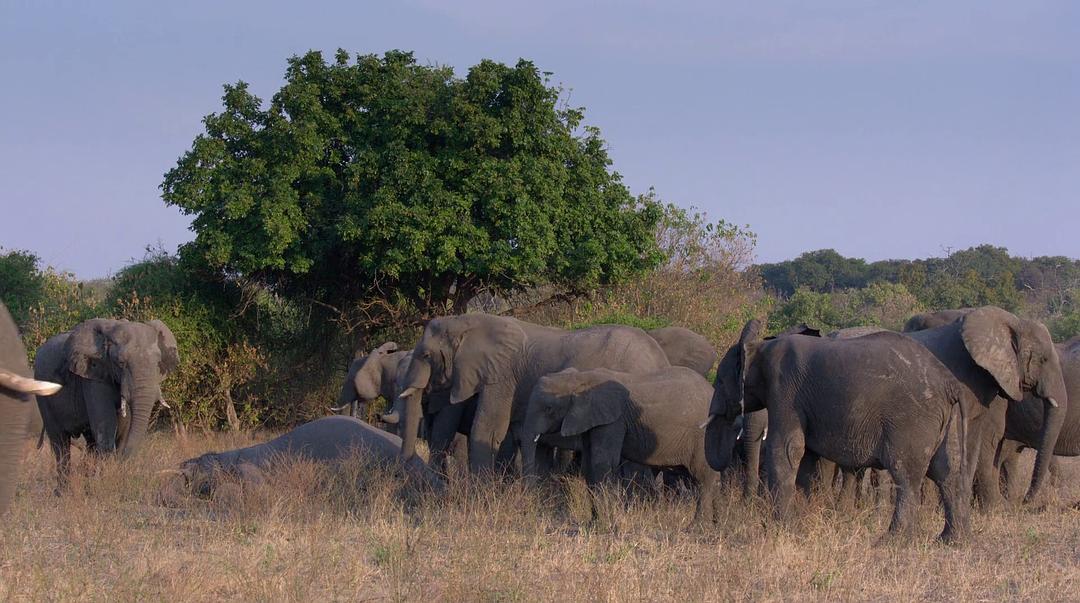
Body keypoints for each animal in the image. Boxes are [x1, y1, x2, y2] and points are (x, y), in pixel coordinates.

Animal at [34, 318, 179, 490]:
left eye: (157, 363)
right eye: (121, 363)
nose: (123, 462)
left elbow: (122, 429)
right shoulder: (93, 375)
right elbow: (106, 428)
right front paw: (104, 485)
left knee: (90, 442)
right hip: (43, 394)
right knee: (60, 443)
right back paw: (63, 491)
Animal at [397, 313, 671, 473]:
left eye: (426, 355)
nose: (404, 468)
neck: (465, 321)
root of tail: (661, 360)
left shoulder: (502, 374)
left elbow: (487, 429)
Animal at [520, 366, 721, 523]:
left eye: (549, 409)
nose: (532, 508)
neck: (580, 378)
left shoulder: (613, 420)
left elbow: (602, 462)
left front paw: (605, 524)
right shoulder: (592, 420)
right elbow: (589, 464)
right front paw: (594, 523)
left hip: (703, 437)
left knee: (703, 478)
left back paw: (697, 527)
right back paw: (716, 524)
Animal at [705, 320, 976, 541]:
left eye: (720, 381)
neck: (761, 347)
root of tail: (950, 384)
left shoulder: (784, 391)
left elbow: (786, 449)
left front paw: (781, 529)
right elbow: (804, 456)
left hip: (912, 419)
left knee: (906, 474)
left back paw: (892, 541)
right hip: (944, 419)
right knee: (945, 471)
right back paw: (951, 540)